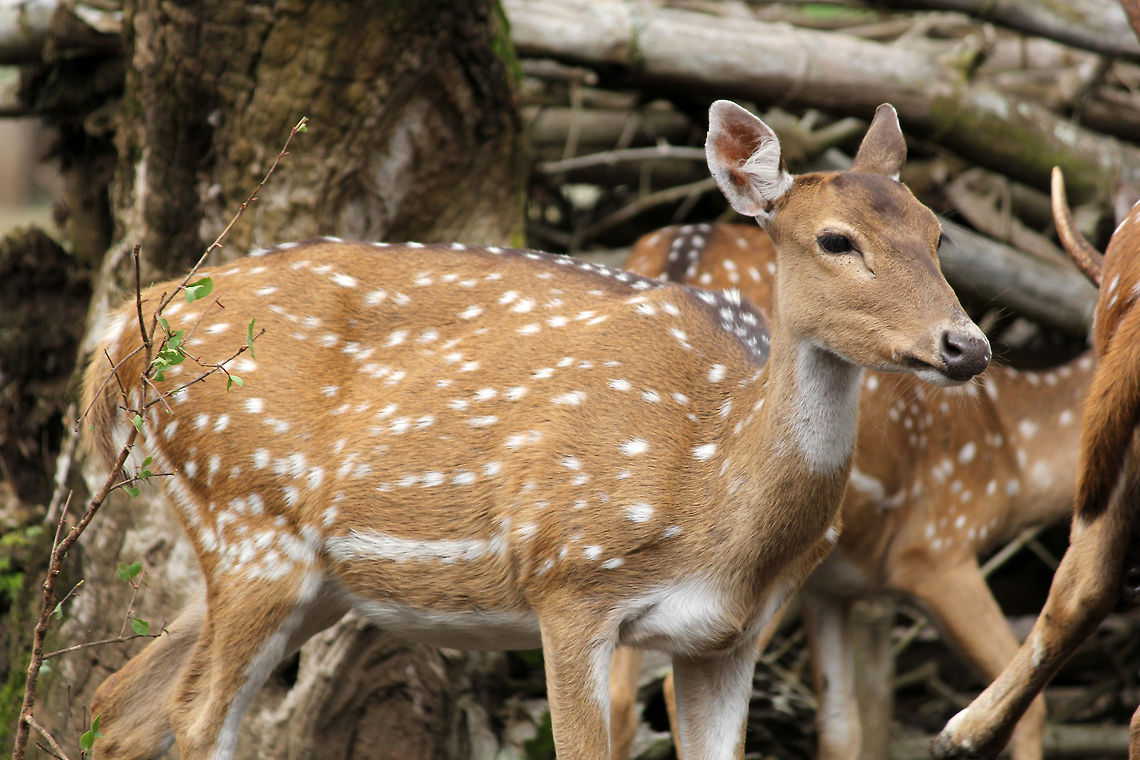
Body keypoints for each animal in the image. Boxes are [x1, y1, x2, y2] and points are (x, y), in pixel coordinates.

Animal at [81, 100, 989, 760]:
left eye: (938, 233)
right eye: (836, 240)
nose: (967, 345)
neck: (713, 495)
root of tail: (124, 337)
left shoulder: (732, 636)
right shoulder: (571, 579)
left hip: (297, 571)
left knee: (124, 703)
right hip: (249, 516)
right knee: (198, 715)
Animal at [608, 222, 1095, 760]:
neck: (1012, 451)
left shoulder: (832, 587)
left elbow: (843, 727)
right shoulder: (937, 547)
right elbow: (1027, 710)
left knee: (619, 699)